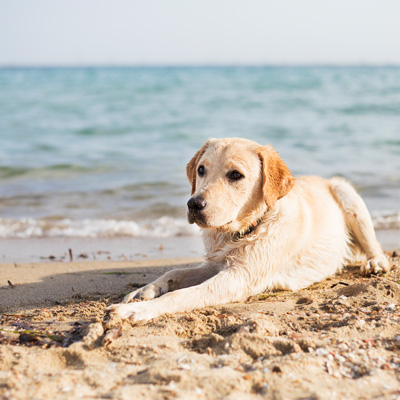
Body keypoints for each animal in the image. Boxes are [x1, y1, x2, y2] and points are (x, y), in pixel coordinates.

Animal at [108, 138, 390, 322]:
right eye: (201, 170)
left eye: (235, 175)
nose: (193, 204)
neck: (244, 230)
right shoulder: (216, 264)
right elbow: (174, 272)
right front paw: (144, 291)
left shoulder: (240, 277)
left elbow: (181, 296)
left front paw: (136, 311)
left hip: (346, 193)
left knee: (374, 245)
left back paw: (375, 263)